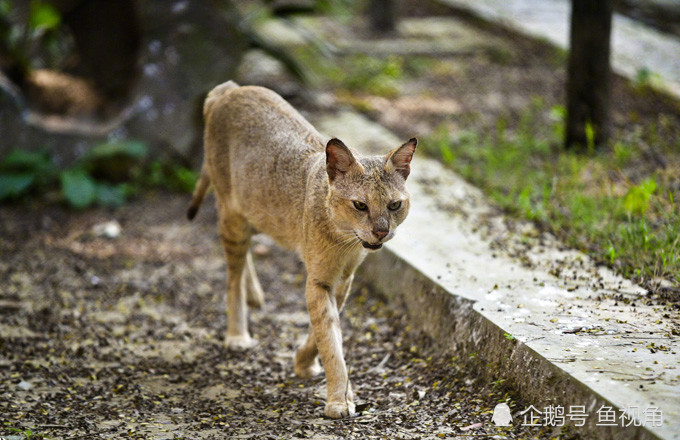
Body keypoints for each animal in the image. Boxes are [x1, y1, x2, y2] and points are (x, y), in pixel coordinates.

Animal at [189, 81, 418, 418]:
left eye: (394, 205)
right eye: (360, 205)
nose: (381, 231)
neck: (346, 241)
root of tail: (231, 88)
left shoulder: (342, 281)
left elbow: (323, 330)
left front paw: (304, 363)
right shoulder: (319, 280)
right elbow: (330, 338)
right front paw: (338, 400)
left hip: (257, 212)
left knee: (243, 258)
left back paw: (254, 294)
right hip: (232, 215)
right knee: (232, 274)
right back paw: (237, 334)